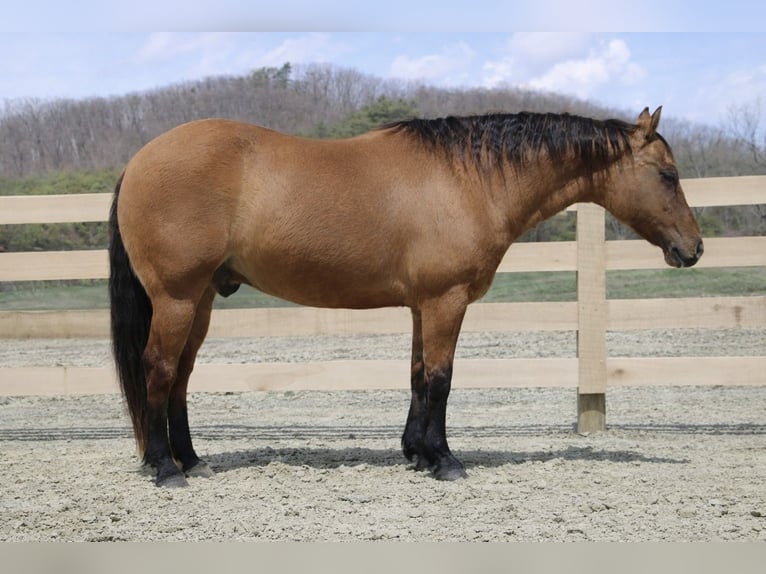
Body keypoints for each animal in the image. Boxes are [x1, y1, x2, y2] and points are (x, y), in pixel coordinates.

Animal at [109, 106, 703, 487]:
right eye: (668, 174)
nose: (694, 249)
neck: (467, 179)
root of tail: (139, 160)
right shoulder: (446, 300)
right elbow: (441, 379)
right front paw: (444, 460)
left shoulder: (424, 305)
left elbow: (418, 375)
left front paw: (416, 453)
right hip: (178, 298)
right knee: (159, 369)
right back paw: (166, 469)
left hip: (202, 301)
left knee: (181, 376)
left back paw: (192, 460)